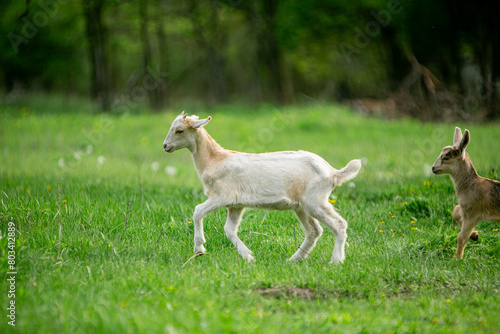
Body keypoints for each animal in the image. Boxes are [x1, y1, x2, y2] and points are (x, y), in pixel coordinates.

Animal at [164, 112, 364, 264]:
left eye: (179, 130)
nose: (165, 146)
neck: (214, 160)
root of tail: (333, 172)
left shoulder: (222, 196)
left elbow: (198, 211)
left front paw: (199, 249)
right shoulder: (236, 205)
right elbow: (229, 230)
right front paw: (248, 257)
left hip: (316, 201)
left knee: (339, 224)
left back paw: (336, 260)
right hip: (302, 206)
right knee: (314, 231)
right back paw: (294, 259)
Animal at [432, 126, 498, 260]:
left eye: (446, 157)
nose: (433, 168)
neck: (472, 185)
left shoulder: (473, 212)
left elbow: (461, 237)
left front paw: (455, 259)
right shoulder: (468, 211)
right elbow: (456, 211)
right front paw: (475, 235)